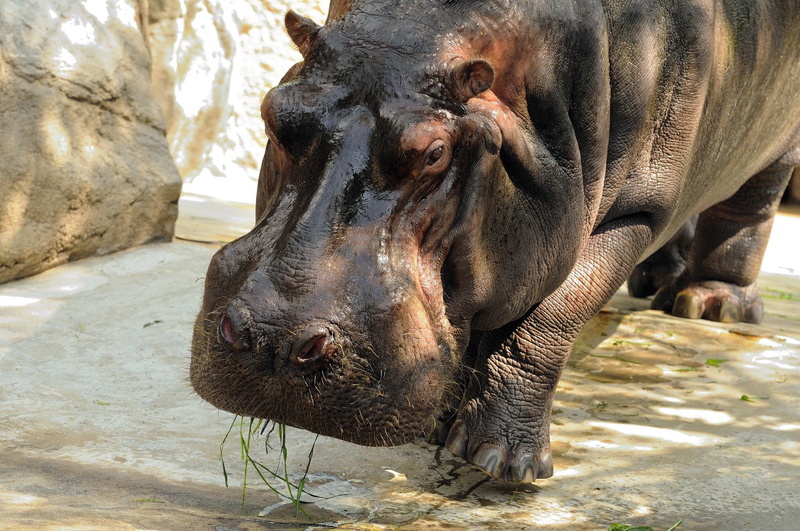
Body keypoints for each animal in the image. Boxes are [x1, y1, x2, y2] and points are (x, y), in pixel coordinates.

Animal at [191, 0, 800, 483]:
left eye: (435, 153)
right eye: (274, 113)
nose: (275, 341)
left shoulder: (637, 212)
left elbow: (551, 317)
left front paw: (501, 463)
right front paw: (443, 428)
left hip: (777, 146)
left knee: (750, 206)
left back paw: (710, 306)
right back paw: (658, 284)